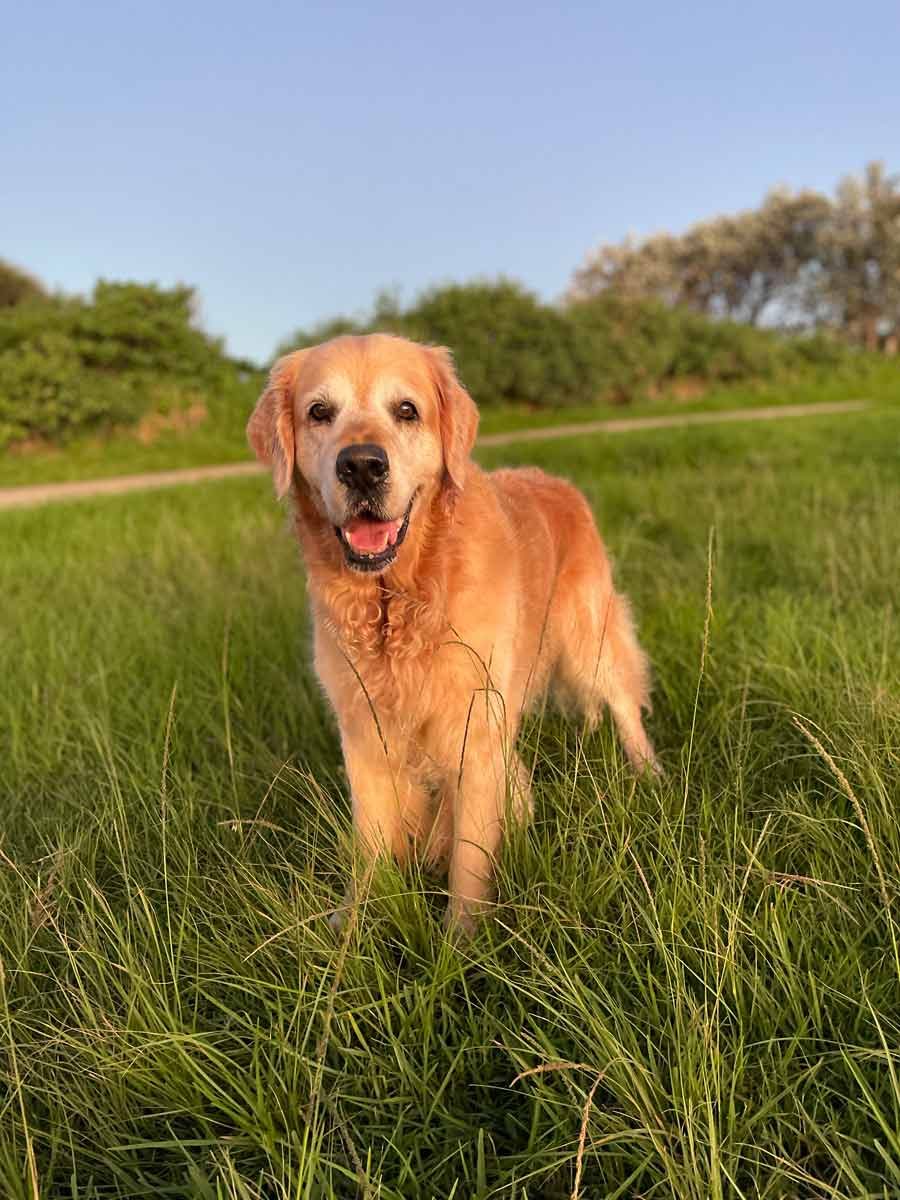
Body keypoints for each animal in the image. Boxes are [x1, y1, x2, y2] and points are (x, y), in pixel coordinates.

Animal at [247, 333, 658, 932]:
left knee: (624, 705)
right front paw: (351, 930)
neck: (399, 603)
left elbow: (469, 861)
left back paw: (647, 775)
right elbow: (370, 850)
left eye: (407, 410)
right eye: (319, 412)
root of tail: (558, 482)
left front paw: (461, 942)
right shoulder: (365, 736)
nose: (362, 466)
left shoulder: (475, 732)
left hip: (589, 638)